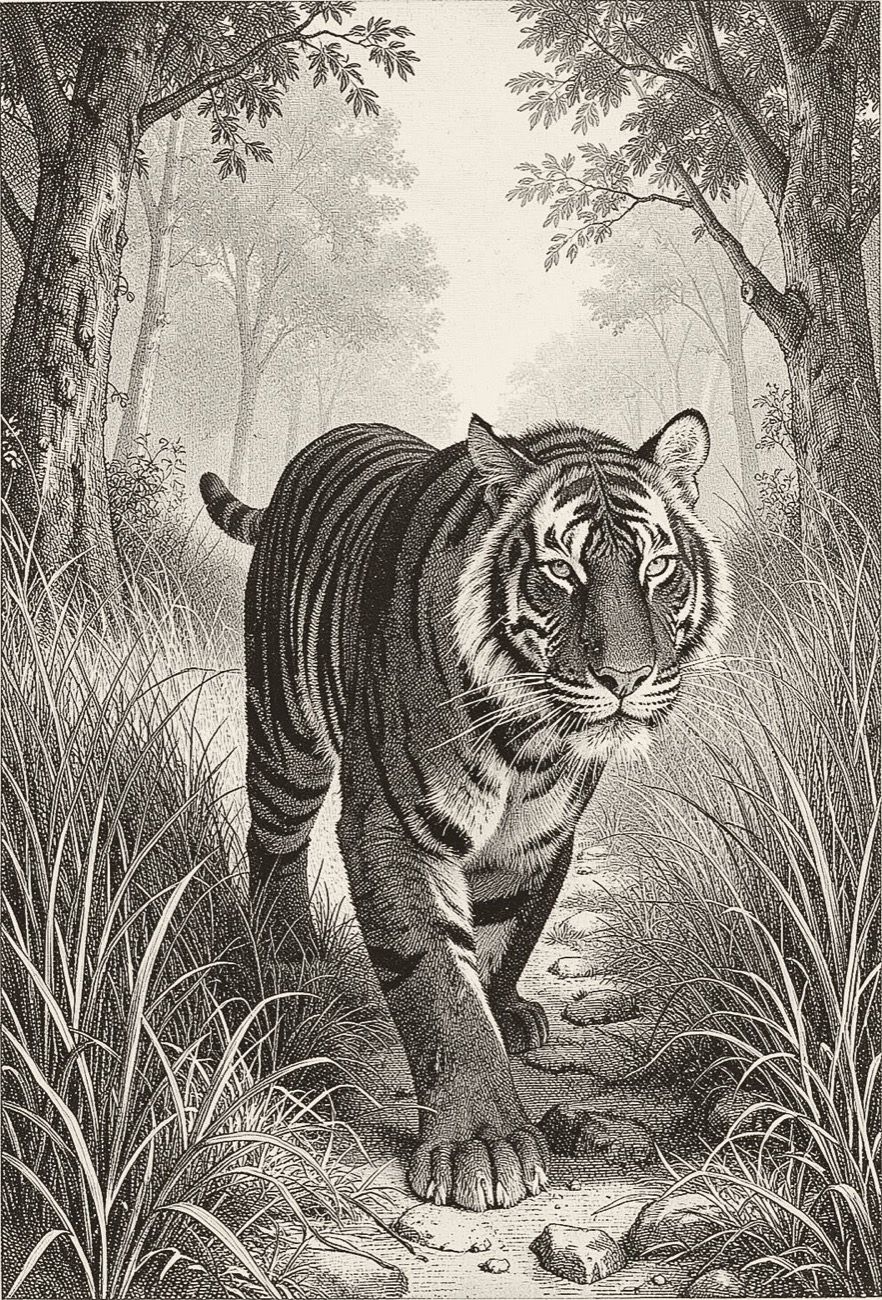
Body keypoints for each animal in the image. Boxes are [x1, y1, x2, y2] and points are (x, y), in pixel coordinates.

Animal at [200, 409, 730, 1213]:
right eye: (562, 571)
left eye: (657, 567)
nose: (627, 679)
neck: (531, 738)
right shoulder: (396, 828)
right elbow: (441, 988)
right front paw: (479, 1146)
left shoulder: (537, 841)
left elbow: (506, 934)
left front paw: (505, 1010)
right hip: (286, 737)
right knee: (275, 843)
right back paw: (287, 958)